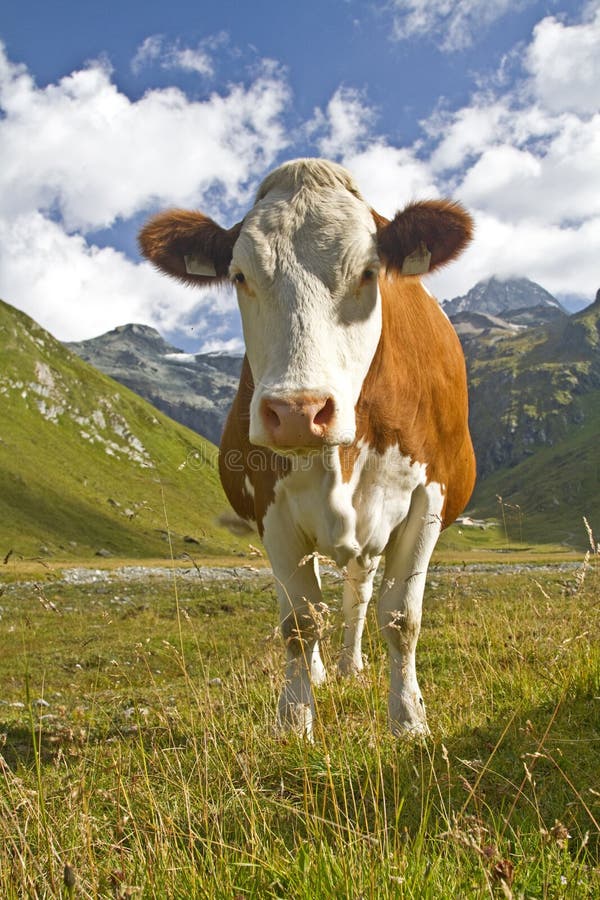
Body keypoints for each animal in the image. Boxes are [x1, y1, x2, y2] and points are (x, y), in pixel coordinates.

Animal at [138, 160, 476, 740]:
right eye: (239, 276)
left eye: (369, 272)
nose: (298, 410)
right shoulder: (270, 505)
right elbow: (298, 621)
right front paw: (295, 720)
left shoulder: (428, 499)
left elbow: (400, 618)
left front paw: (409, 719)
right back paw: (321, 672)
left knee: (358, 593)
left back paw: (350, 666)